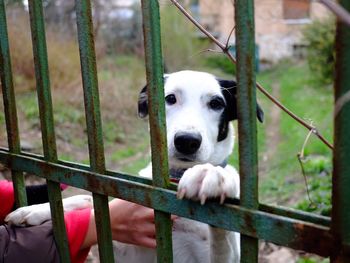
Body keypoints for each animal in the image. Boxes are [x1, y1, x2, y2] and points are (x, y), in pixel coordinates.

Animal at [5, 70, 264, 263]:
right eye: (170, 98)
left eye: (216, 103)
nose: (187, 141)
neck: (173, 180)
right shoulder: (122, 248)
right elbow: (91, 203)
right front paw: (34, 210)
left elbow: (222, 236)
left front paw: (212, 174)